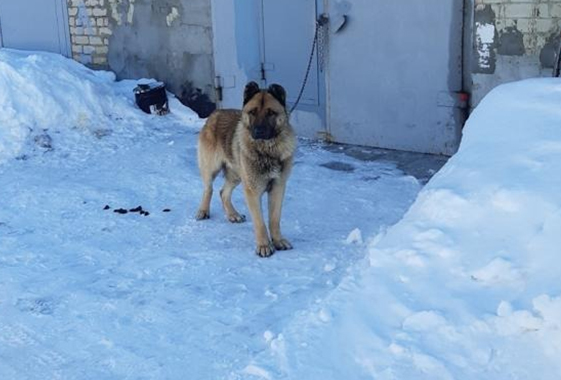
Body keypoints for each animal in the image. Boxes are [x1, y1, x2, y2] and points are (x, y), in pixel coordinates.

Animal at [195, 81, 296, 256]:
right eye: (252, 112)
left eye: (271, 113)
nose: (259, 131)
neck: (267, 150)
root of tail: (215, 113)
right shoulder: (252, 191)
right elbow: (260, 222)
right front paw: (264, 245)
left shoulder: (278, 188)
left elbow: (274, 219)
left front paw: (277, 241)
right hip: (211, 169)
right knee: (209, 189)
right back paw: (203, 211)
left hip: (237, 175)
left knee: (223, 192)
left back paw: (233, 215)